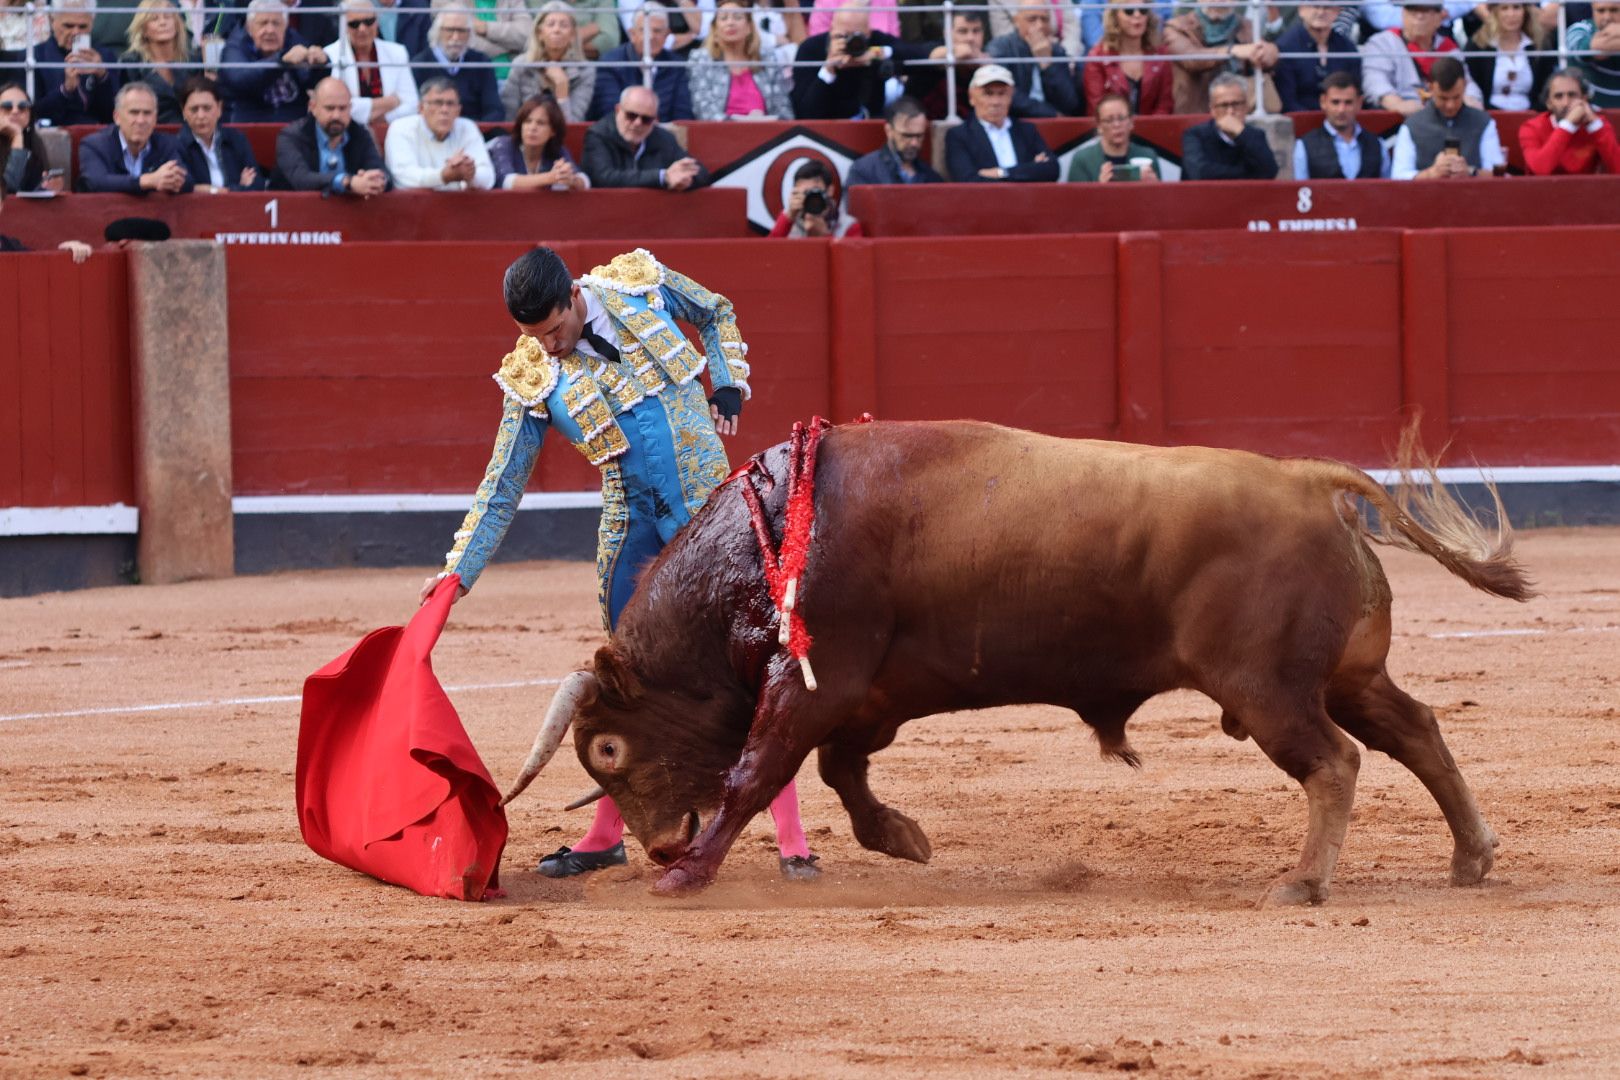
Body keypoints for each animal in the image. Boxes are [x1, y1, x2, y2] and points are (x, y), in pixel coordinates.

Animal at [498, 417, 1522, 906]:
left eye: (609, 752)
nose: (661, 843)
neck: (771, 539)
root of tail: (1313, 482)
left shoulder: (816, 681)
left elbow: (760, 772)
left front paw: (686, 880)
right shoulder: (867, 696)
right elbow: (839, 773)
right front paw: (902, 837)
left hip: (1271, 691)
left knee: (1336, 764)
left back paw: (1304, 883)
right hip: (1347, 676)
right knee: (1416, 731)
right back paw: (1471, 855)